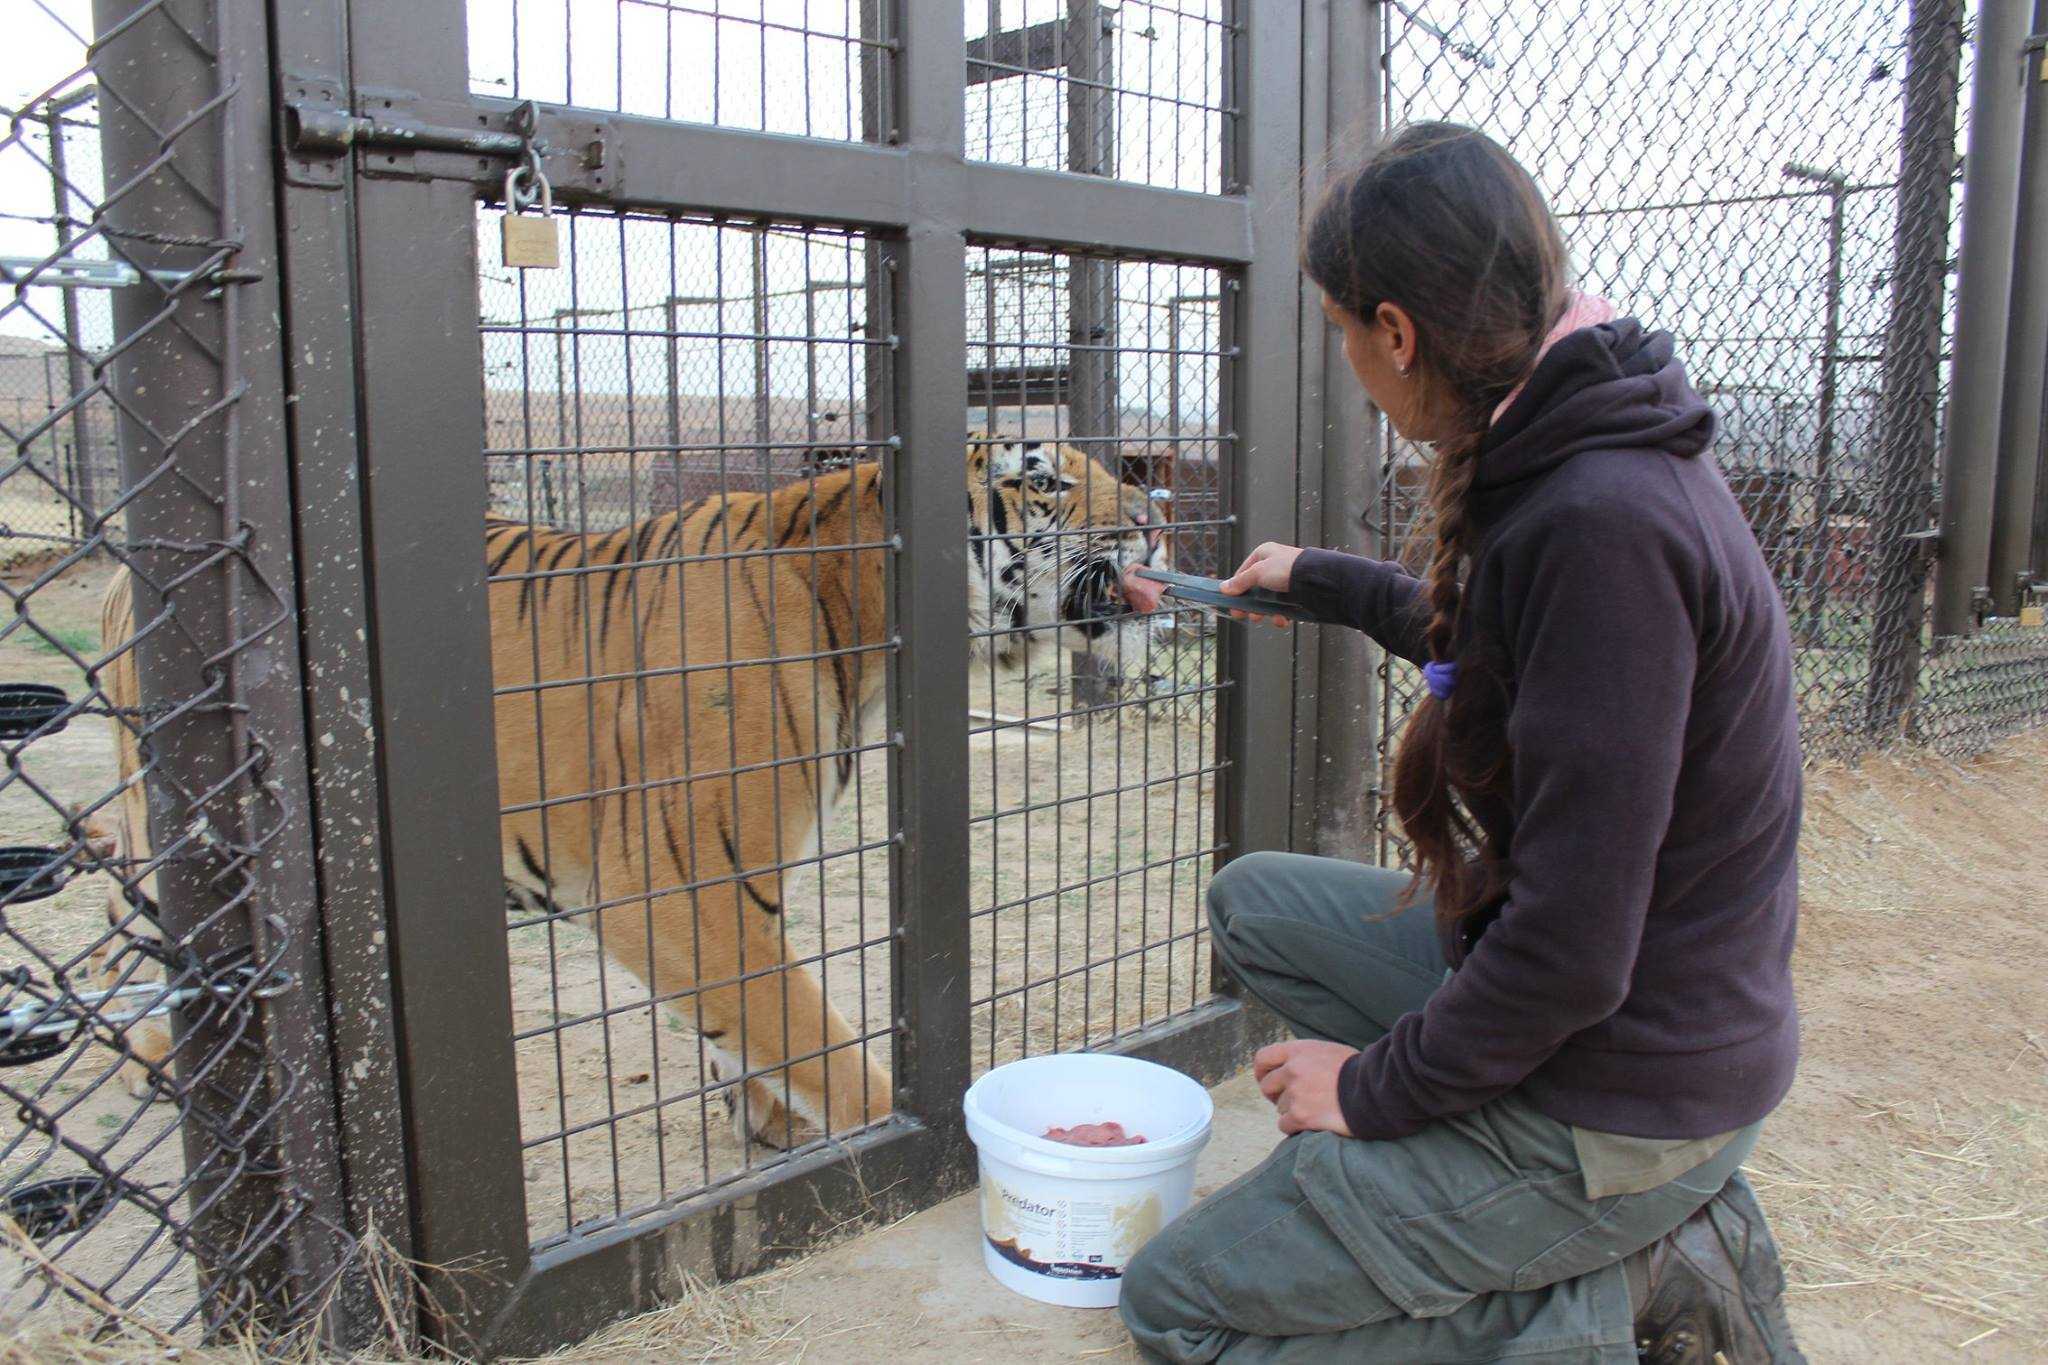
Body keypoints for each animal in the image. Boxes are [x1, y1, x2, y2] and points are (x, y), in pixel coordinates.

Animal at [96, 437, 1171, 1146]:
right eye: (1046, 482)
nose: (1160, 522)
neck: (861, 622)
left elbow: (752, 1014)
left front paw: (765, 1119)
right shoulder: (671, 879)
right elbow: (803, 1024)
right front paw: (893, 1134)